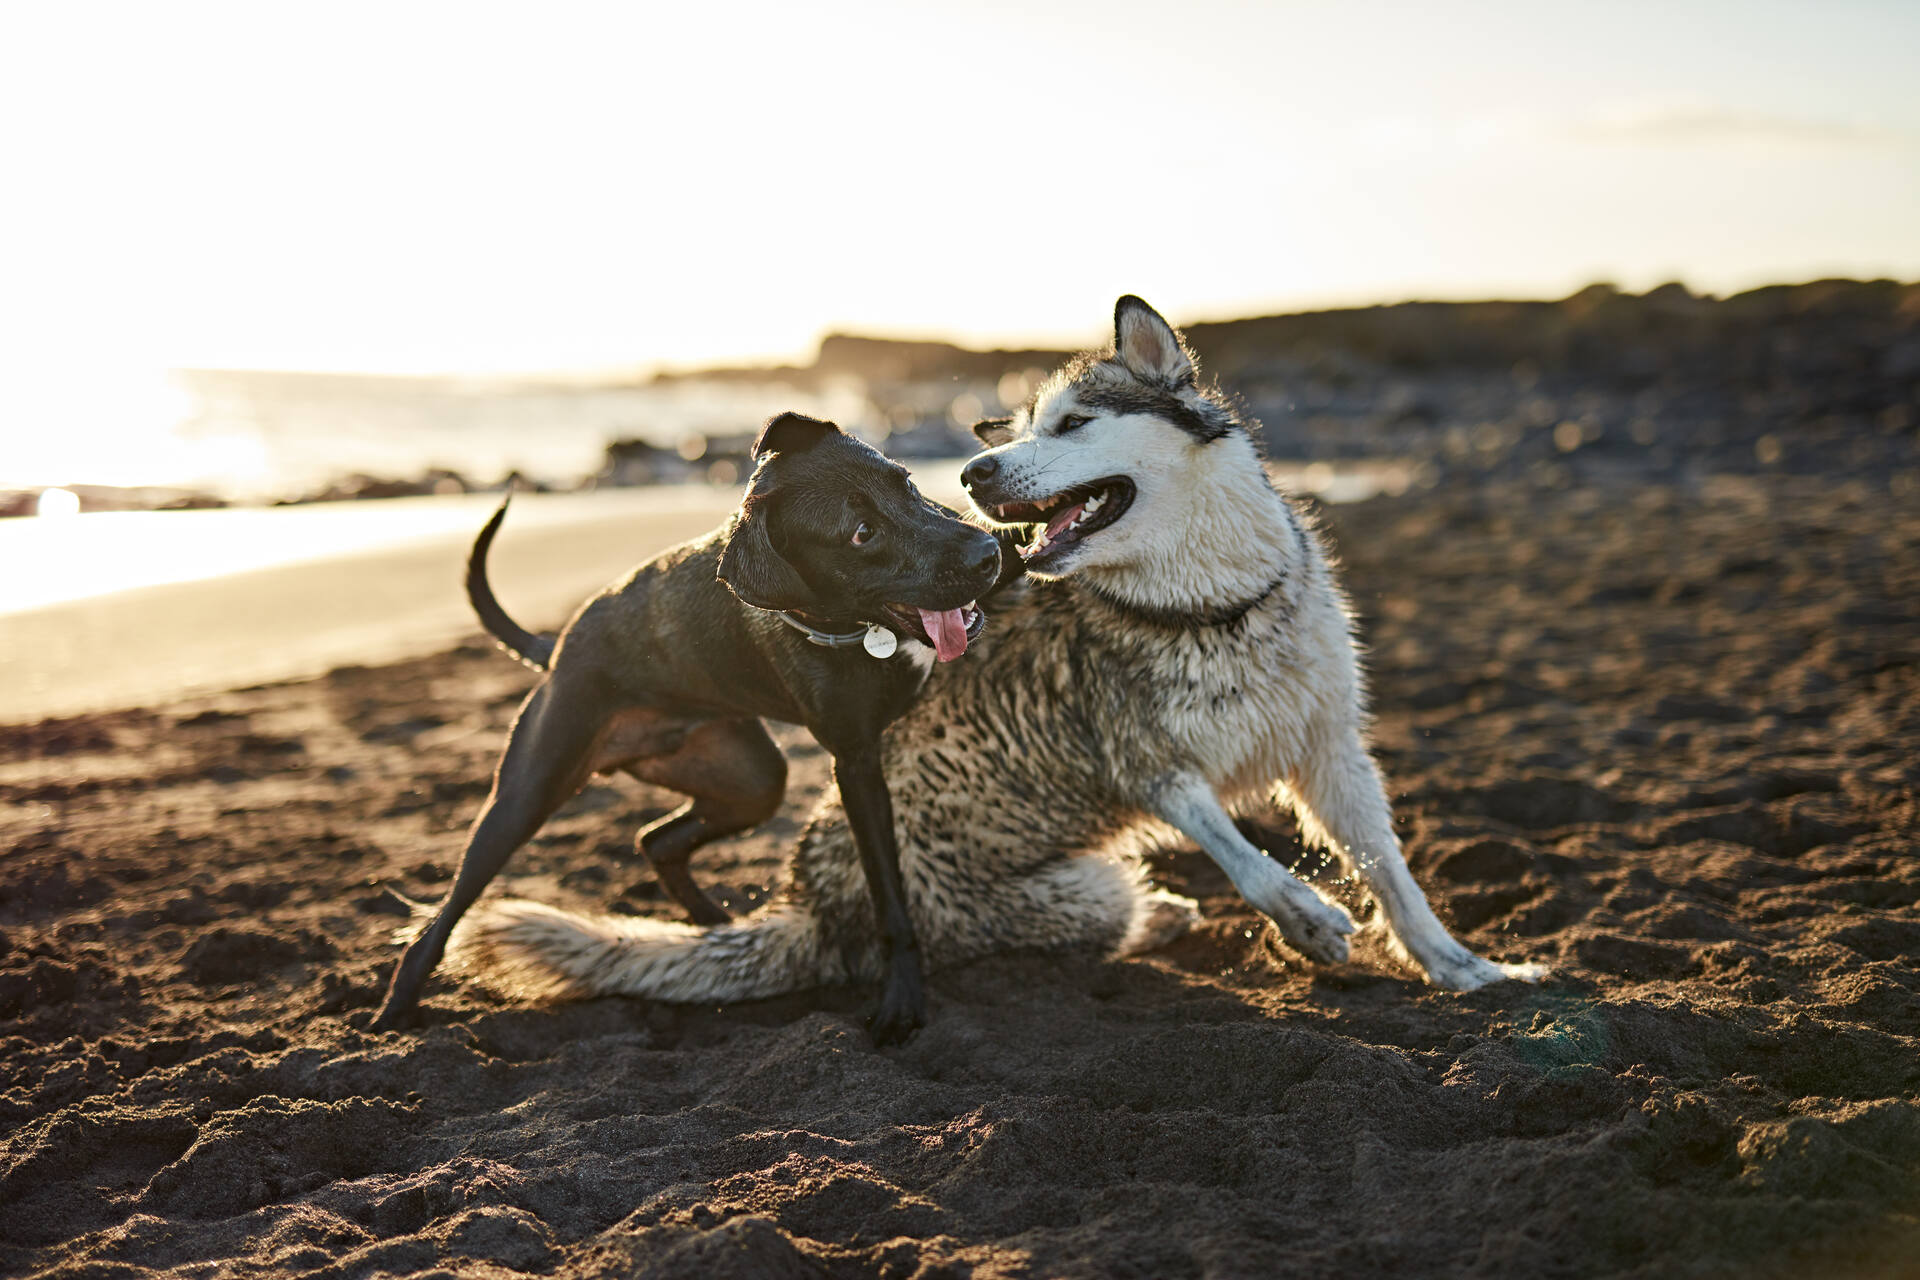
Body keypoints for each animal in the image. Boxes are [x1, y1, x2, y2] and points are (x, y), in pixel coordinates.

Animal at [374, 416, 1006, 1043]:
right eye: (861, 533)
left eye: (905, 481)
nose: (989, 553)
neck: (856, 625)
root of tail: (554, 652)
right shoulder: (856, 766)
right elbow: (889, 894)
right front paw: (901, 1000)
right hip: (528, 792)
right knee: (447, 912)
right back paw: (397, 1008)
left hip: (750, 780)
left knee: (656, 840)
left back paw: (712, 927)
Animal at [449, 295, 1543, 1013]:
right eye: (1011, 431)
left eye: (1073, 423)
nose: (973, 472)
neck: (1212, 605)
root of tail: (813, 908)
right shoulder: (1146, 762)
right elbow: (1245, 853)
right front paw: (1307, 918)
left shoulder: (1331, 752)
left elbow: (1396, 876)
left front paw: (1468, 969)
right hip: (1081, 882)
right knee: (1116, 908)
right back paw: (1164, 917)